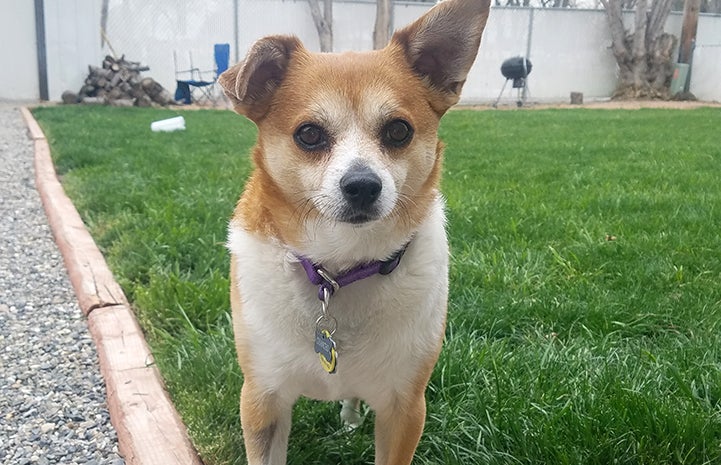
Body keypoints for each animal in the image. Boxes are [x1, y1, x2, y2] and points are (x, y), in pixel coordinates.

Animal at [219, 1, 490, 462]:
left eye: (398, 130)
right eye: (309, 134)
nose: (362, 185)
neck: (339, 269)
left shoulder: (405, 409)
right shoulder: (261, 400)